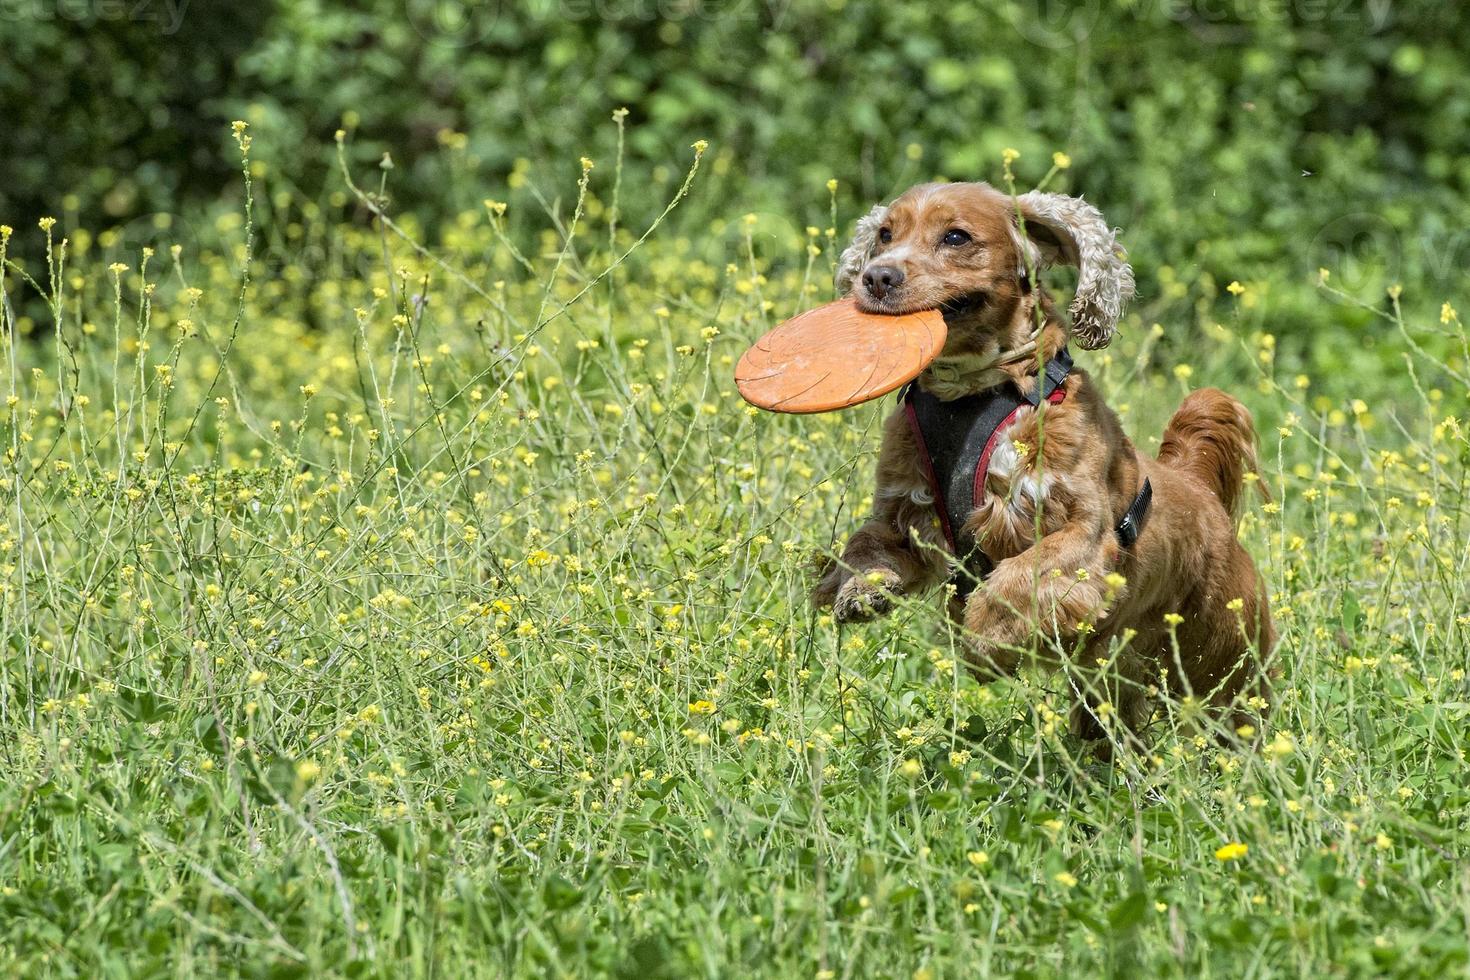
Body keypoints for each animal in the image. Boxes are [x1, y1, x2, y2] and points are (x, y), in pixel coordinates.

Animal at [817, 182, 1275, 752]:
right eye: (884, 234)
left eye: (955, 237)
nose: (877, 277)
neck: (970, 397)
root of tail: (1197, 485)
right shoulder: (905, 512)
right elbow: (868, 545)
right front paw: (859, 592)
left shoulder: (1082, 533)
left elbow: (1013, 580)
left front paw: (984, 648)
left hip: (1224, 657)